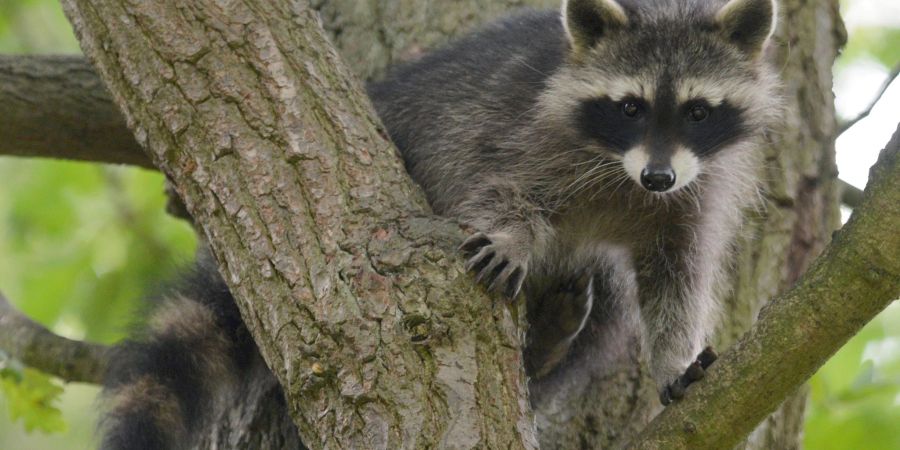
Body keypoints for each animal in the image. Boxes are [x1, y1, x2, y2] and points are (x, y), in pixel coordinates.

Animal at [100, 0, 780, 448]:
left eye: (697, 111)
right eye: (630, 107)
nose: (657, 178)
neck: (622, 172)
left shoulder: (695, 192)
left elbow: (676, 276)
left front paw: (674, 359)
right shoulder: (522, 134)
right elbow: (500, 188)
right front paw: (511, 237)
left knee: (608, 301)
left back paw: (547, 348)